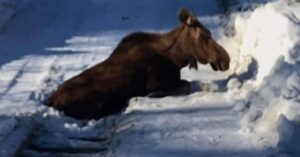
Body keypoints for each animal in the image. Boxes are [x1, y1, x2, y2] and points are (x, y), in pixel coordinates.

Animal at [46, 8, 230, 119]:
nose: (225, 59)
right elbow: (186, 85)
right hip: (97, 103)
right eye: (204, 36)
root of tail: (50, 101)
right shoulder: (155, 84)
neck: (175, 59)